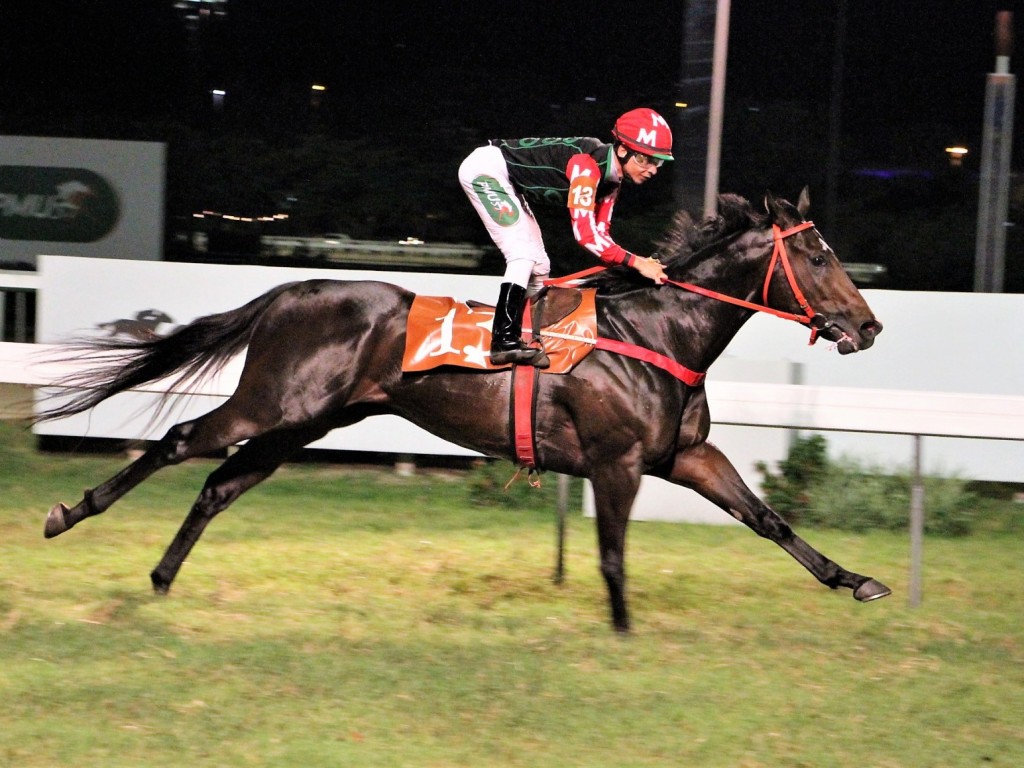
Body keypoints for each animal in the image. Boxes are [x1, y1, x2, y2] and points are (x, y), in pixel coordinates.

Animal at [37, 191, 888, 630]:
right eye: (818, 255)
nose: (871, 325)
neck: (655, 331)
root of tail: (292, 291)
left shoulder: (686, 456)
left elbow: (769, 519)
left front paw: (855, 580)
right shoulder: (616, 463)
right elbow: (614, 554)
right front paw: (621, 628)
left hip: (304, 422)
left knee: (219, 485)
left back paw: (160, 580)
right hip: (272, 403)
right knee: (182, 440)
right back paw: (70, 514)